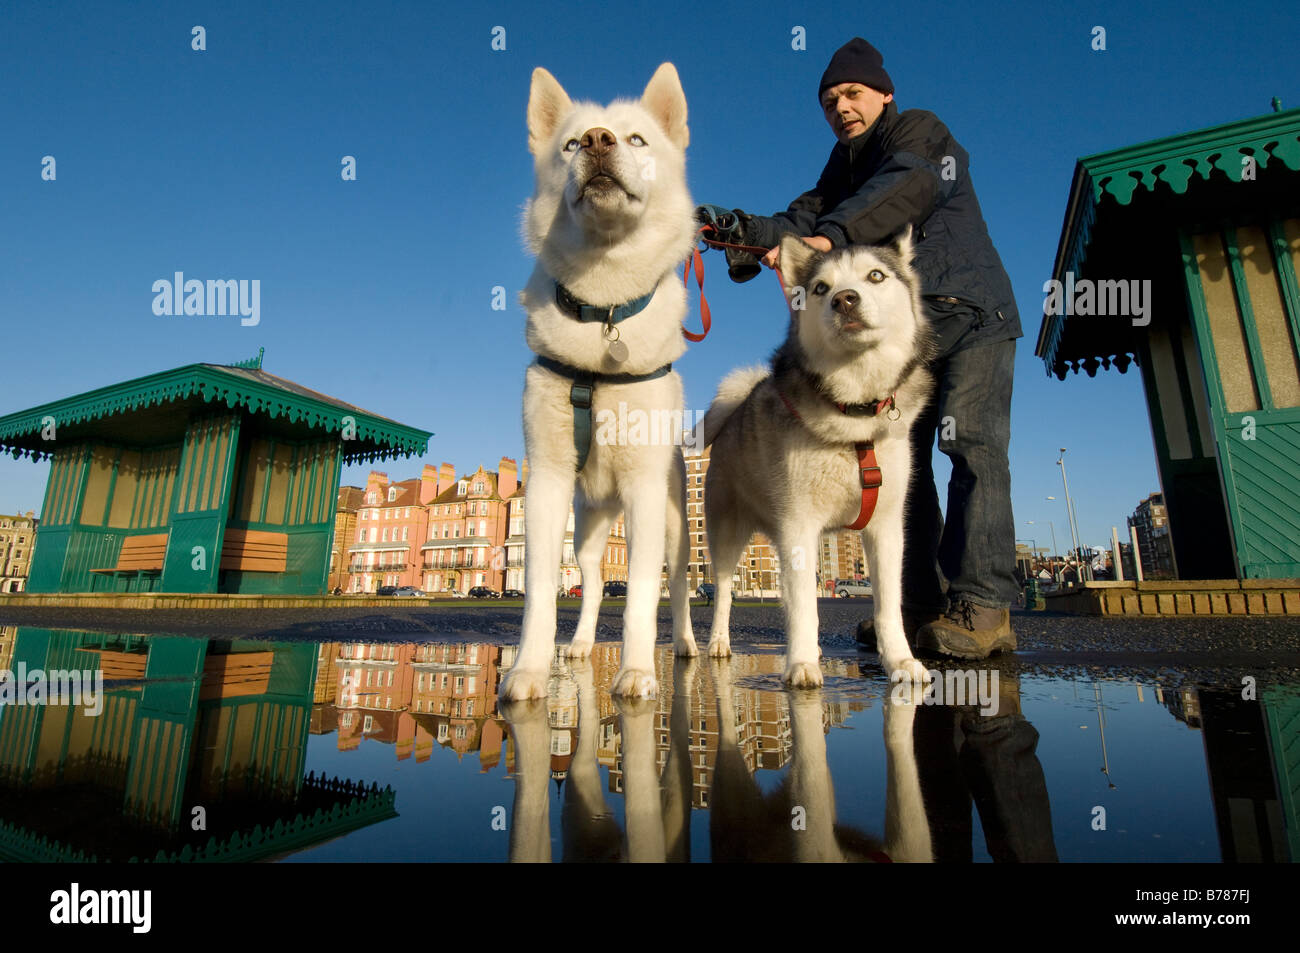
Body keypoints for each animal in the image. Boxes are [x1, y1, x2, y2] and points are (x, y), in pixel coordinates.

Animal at [499, 61, 702, 696]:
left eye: (636, 138)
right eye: (570, 143)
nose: (596, 140)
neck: (605, 309)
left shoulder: (642, 489)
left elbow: (638, 596)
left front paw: (636, 671)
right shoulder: (547, 480)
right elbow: (541, 590)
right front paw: (528, 670)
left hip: (674, 527)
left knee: (678, 589)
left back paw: (687, 646)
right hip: (588, 523)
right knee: (588, 586)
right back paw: (582, 645)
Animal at [702, 234, 935, 686]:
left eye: (875, 275)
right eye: (821, 288)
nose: (845, 299)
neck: (854, 417)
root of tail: (733, 415)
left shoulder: (886, 528)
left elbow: (887, 607)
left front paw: (900, 661)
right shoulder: (799, 524)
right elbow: (803, 608)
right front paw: (802, 663)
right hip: (726, 535)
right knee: (722, 592)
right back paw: (719, 643)